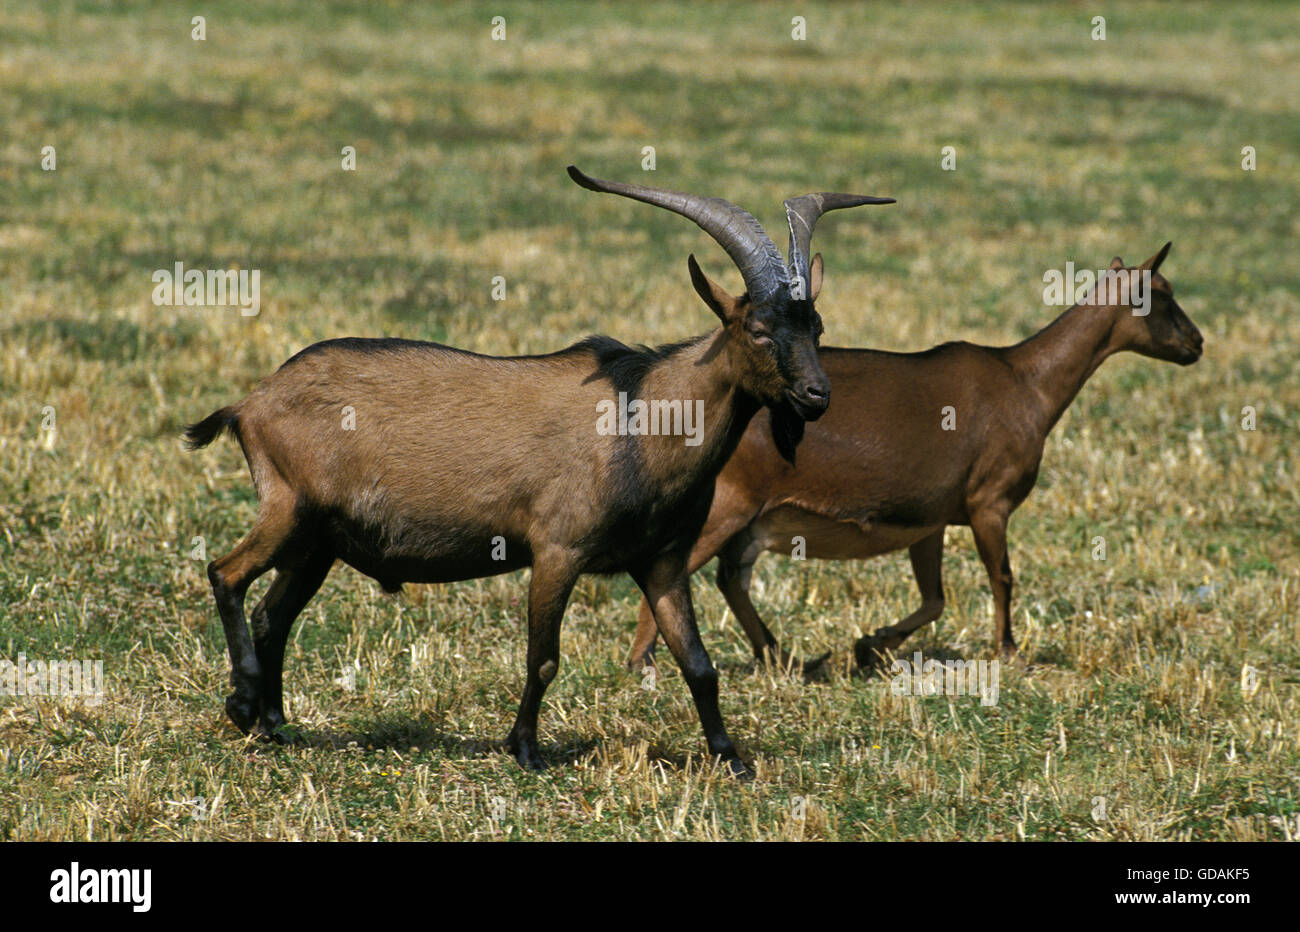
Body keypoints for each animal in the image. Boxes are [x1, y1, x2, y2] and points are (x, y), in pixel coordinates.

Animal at [185, 165, 894, 769]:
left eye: (817, 326)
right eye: (757, 329)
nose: (817, 396)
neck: (640, 416)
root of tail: (253, 402)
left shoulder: (662, 562)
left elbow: (698, 663)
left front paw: (730, 757)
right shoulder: (558, 549)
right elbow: (544, 657)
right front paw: (524, 749)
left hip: (319, 539)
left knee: (274, 612)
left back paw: (276, 723)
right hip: (288, 507)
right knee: (227, 575)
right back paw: (242, 703)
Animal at [624, 243, 1201, 670]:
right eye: (1162, 294)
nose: (1197, 343)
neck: (1026, 383)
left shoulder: (931, 517)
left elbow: (934, 598)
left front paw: (871, 645)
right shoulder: (989, 501)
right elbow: (1003, 577)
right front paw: (1009, 653)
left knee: (730, 578)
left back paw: (781, 657)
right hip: (729, 503)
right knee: (679, 573)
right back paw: (644, 663)